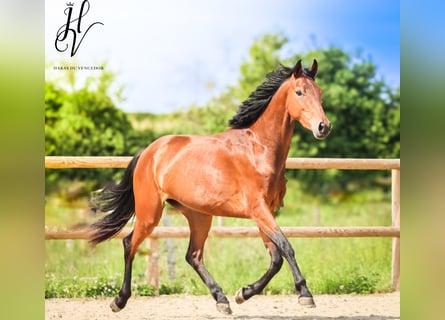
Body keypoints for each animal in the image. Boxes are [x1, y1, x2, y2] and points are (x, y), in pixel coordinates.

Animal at [90, 58, 330, 314]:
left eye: (319, 92)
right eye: (299, 92)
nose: (323, 127)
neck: (259, 148)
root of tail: (149, 151)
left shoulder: (267, 211)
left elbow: (276, 258)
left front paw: (243, 293)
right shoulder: (258, 209)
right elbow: (286, 247)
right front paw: (305, 294)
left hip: (199, 215)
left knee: (193, 255)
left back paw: (221, 299)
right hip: (149, 213)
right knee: (129, 244)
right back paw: (119, 300)